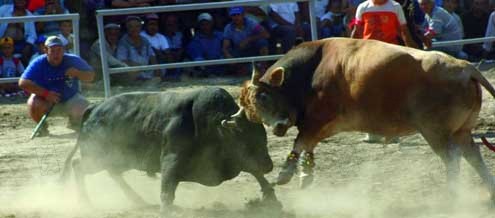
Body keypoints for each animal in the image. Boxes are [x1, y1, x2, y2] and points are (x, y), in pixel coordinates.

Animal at [227, 37, 495, 203]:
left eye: (264, 97)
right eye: (252, 111)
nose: (279, 128)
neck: (312, 70)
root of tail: (465, 67)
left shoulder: (318, 118)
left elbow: (301, 142)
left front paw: (286, 174)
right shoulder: (325, 125)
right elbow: (308, 144)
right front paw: (305, 175)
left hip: (435, 132)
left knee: (452, 158)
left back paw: (451, 196)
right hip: (462, 131)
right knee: (473, 155)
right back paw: (489, 191)